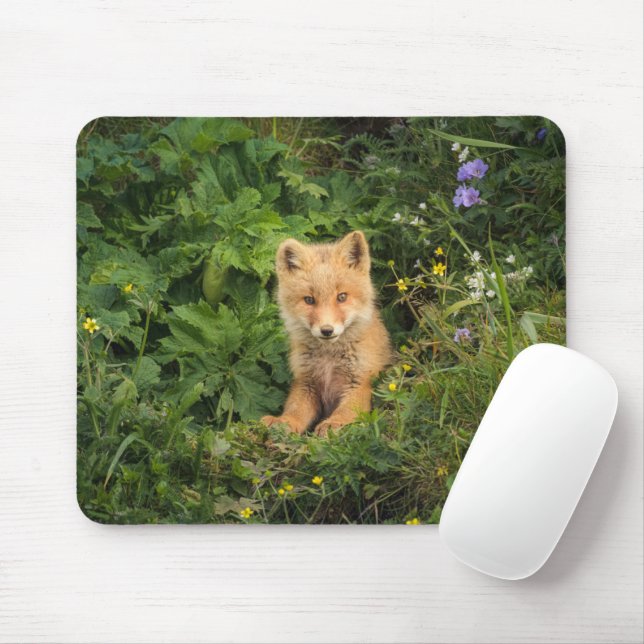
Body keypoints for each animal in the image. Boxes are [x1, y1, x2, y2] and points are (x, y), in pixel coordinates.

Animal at [261, 230, 392, 437]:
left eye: (342, 297)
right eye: (309, 300)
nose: (327, 330)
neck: (329, 359)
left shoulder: (360, 382)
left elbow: (346, 411)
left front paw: (334, 423)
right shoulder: (306, 383)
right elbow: (295, 410)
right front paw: (284, 422)